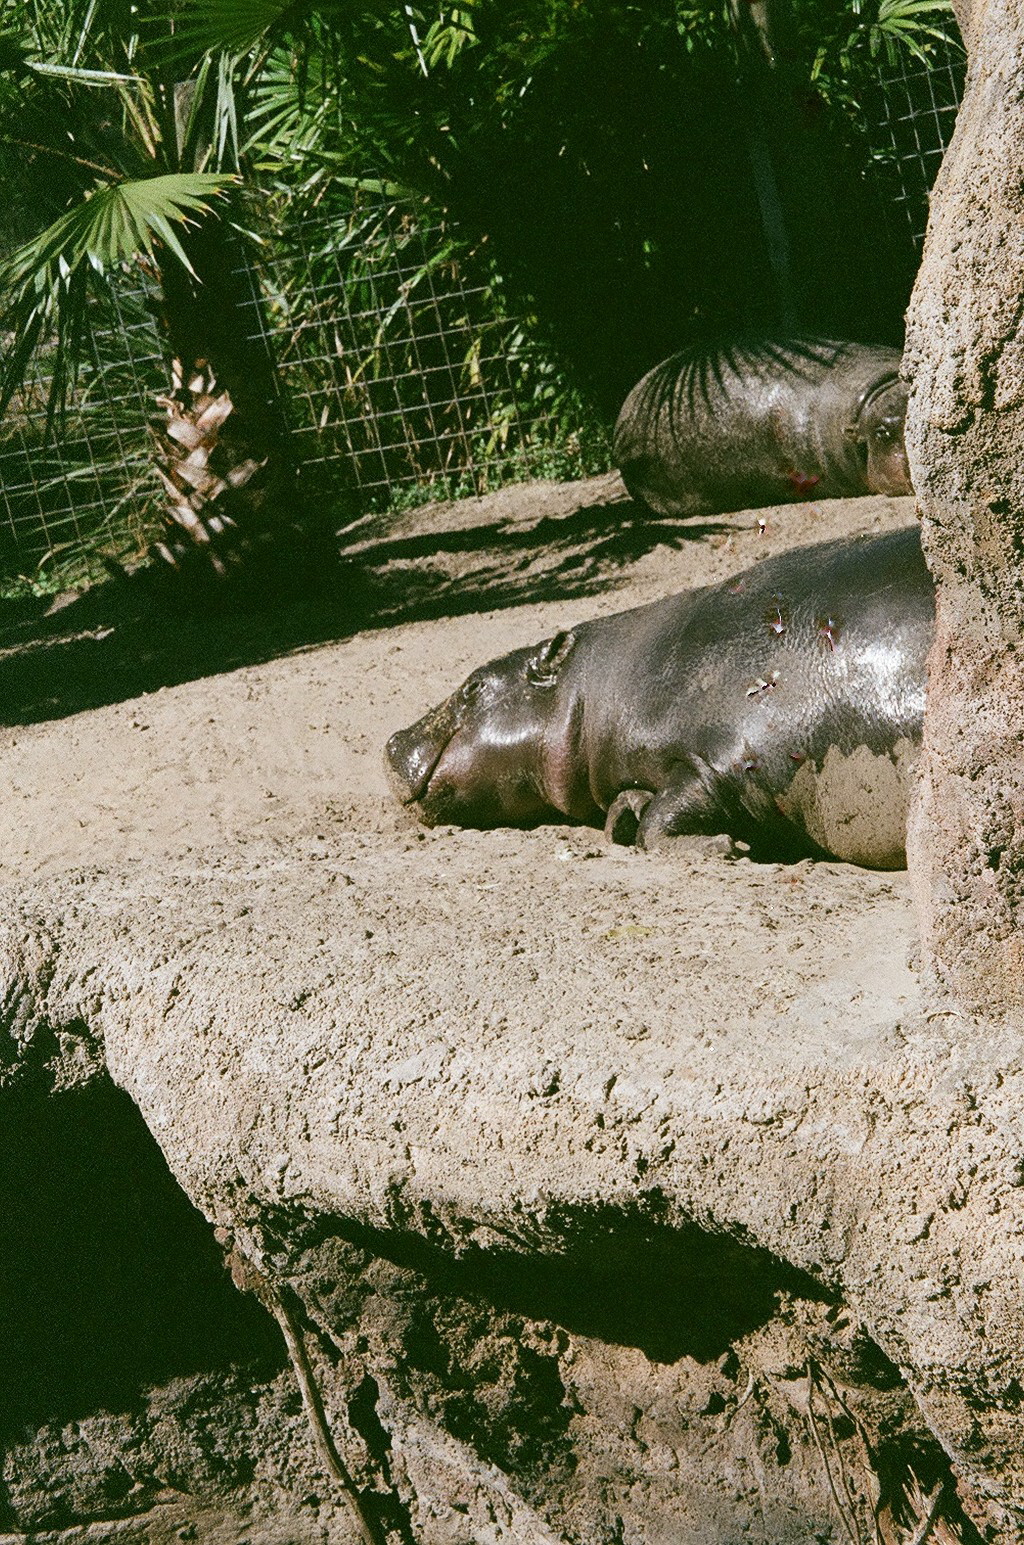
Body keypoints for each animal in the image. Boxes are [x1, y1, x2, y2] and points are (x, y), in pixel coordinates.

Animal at [385, 526, 933, 869]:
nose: (390, 740)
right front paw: (624, 813)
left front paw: (725, 847)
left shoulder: (721, 759)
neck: (594, 688)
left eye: (473, 686)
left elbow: (662, 818)